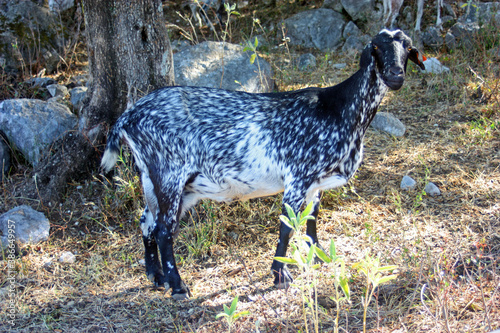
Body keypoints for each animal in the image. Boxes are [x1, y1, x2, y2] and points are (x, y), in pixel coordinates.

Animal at [100, 28, 426, 298]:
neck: (337, 109)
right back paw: (178, 286)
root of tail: (128, 116)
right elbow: (286, 226)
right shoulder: (297, 176)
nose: (396, 75)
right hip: (170, 174)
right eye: (377, 47)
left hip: (159, 179)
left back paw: (156, 277)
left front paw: (320, 256)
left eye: (407, 47)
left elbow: (311, 220)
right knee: (164, 230)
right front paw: (280, 274)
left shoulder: (316, 183)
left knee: (147, 221)